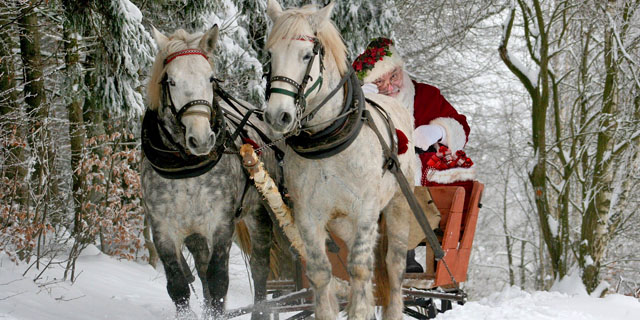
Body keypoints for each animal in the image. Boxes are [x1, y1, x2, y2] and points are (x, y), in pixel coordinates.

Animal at [141, 25, 276, 320]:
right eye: (171, 81)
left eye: (210, 78)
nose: (202, 139)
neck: (185, 168)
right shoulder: (163, 229)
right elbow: (179, 286)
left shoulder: (221, 223)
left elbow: (218, 282)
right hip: (195, 233)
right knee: (201, 272)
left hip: (259, 214)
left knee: (260, 268)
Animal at [264, 1, 418, 318]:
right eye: (270, 54)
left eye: (307, 55)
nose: (277, 116)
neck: (328, 140)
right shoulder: (308, 215)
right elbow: (321, 273)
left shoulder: (366, 211)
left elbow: (359, 270)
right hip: (341, 224)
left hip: (398, 205)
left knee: (393, 267)